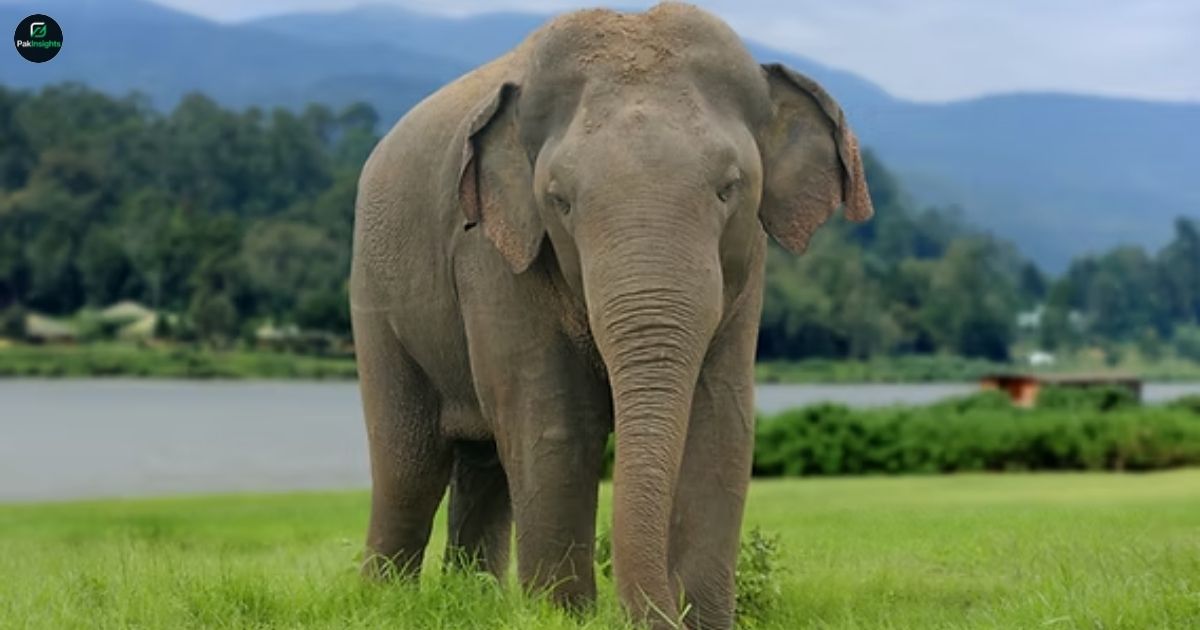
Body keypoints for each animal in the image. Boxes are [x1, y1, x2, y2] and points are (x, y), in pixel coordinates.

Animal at [349, 3, 872, 628]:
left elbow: (721, 420)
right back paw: (384, 602)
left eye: (729, 189)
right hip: (374, 294)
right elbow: (556, 422)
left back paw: (473, 601)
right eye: (560, 201)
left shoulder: (748, 269)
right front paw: (564, 617)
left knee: (483, 464)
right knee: (410, 465)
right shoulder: (492, 256)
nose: (666, 612)